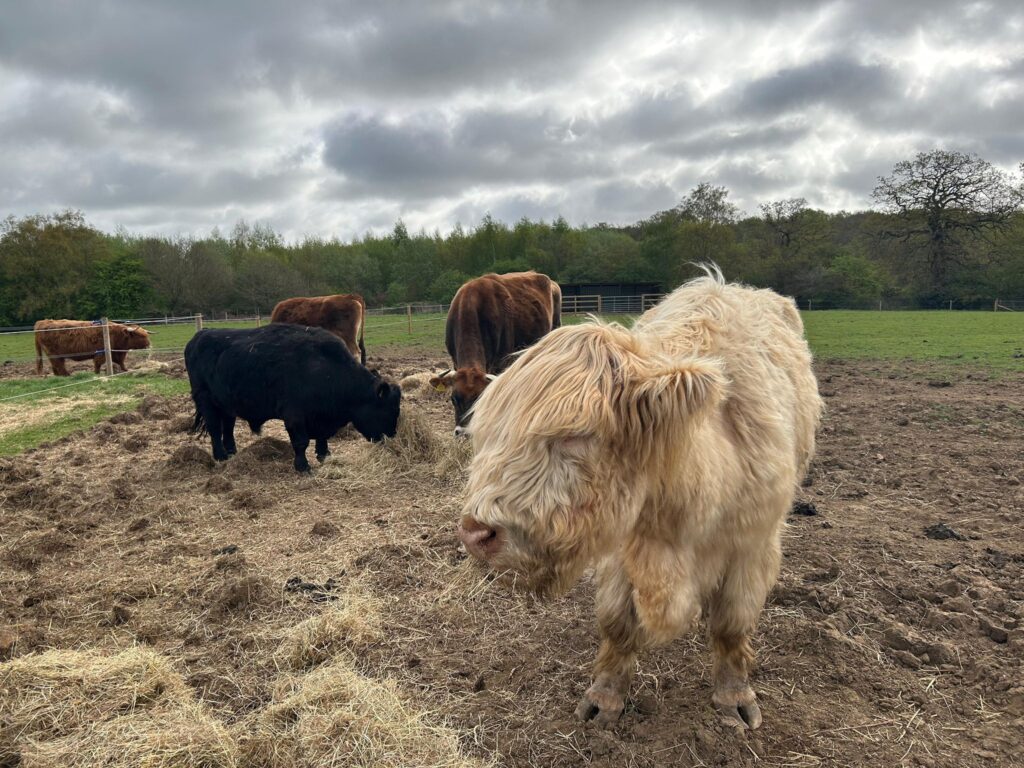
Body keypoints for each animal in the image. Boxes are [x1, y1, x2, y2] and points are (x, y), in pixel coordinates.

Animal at [184, 323, 401, 472]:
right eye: (386, 410)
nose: (392, 437)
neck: (326, 369)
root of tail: (200, 335)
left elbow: (321, 438)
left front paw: (324, 455)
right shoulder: (294, 416)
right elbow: (301, 442)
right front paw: (303, 466)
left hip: (227, 404)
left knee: (228, 428)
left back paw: (232, 452)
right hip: (206, 401)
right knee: (214, 428)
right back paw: (220, 455)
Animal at [457, 270, 822, 730]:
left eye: (576, 434)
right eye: (489, 431)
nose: (475, 532)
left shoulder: (754, 543)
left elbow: (732, 624)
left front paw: (734, 695)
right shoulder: (622, 546)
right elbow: (617, 623)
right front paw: (605, 697)